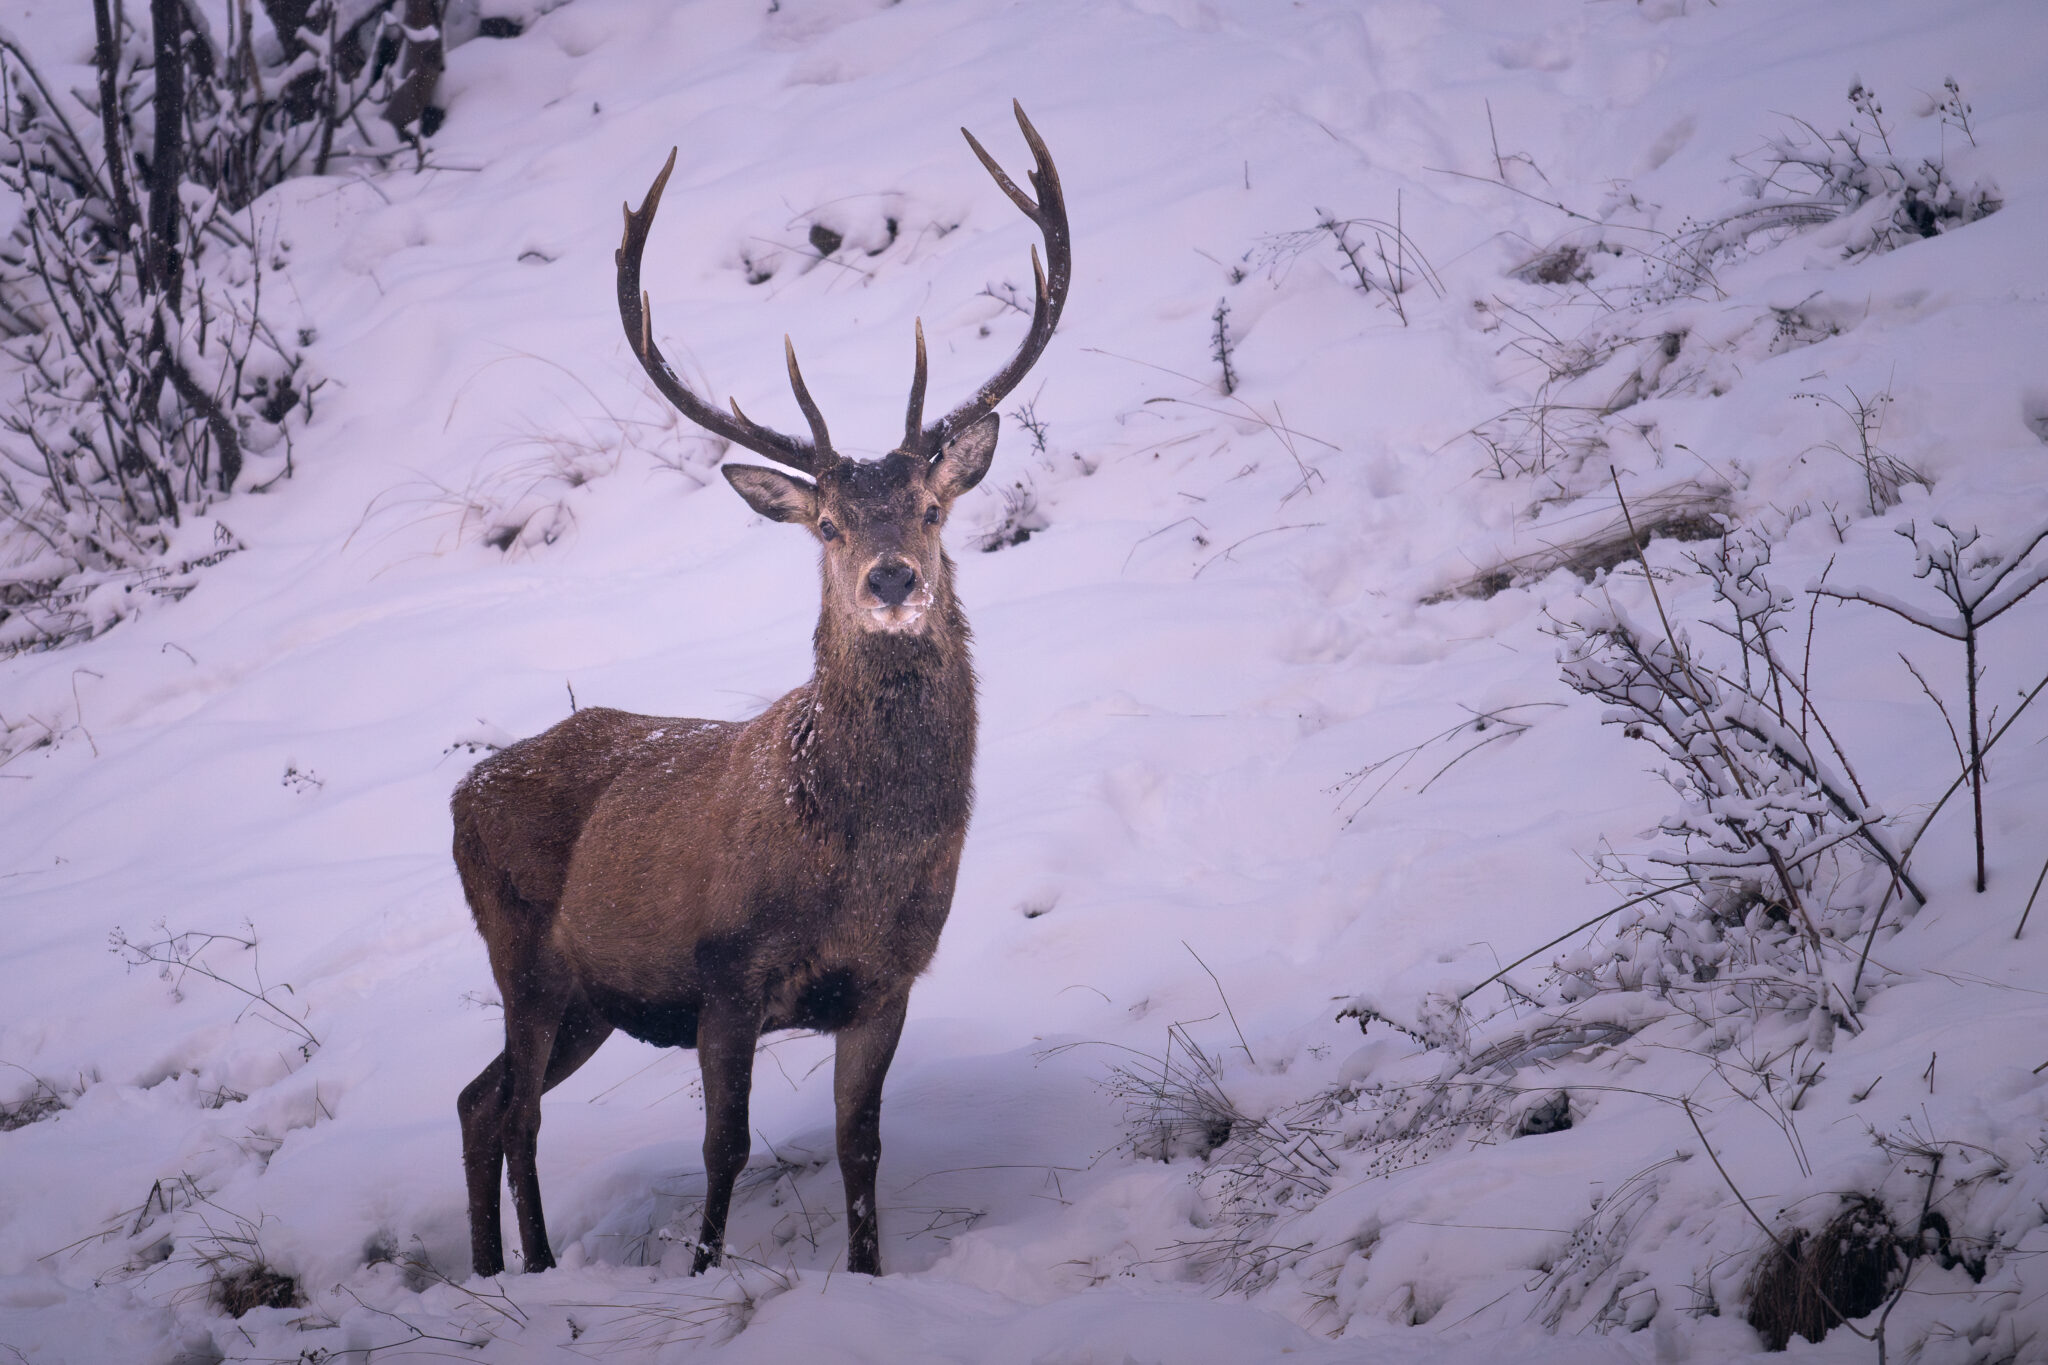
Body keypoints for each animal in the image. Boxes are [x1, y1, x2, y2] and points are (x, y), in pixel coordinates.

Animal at [451, 103, 1069, 1281]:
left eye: (931, 508)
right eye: (826, 524)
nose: (891, 579)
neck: (851, 862)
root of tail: (460, 794)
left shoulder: (884, 982)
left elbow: (860, 1146)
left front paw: (869, 1277)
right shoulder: (723, 976)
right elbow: (724, 1147)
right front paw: (699, 1272)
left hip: (589, 997)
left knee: (477, 1100)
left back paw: (501, 1270)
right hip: (522, 954)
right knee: (513, 1111)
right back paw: (533, 1270)